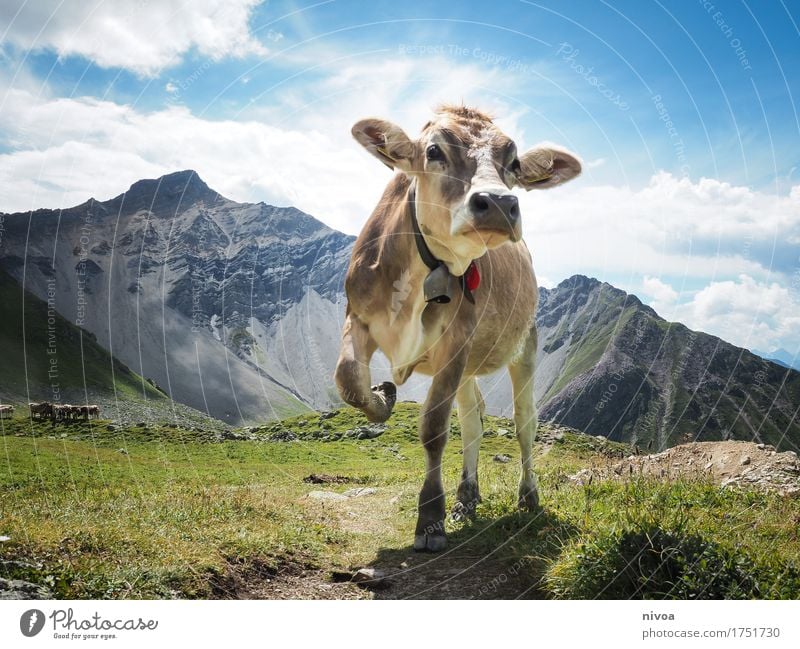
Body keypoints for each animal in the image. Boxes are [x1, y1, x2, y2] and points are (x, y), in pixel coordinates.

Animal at [332, 106, 580, 552]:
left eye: (515, 163)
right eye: (433, 151)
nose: (498, 202)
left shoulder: (456, 343)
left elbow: (433, 428)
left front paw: (430, 522)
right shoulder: (356, 316)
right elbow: (349, 381)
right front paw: (383, 396)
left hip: (525, 344)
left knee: (525, 421)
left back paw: (528, 497)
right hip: (470, 367)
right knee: (472, 420)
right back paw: (467, 497)